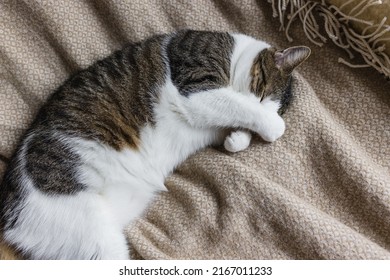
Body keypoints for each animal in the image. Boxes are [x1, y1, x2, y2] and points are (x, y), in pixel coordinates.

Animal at [0, 29, 310, 260]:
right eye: (262, 92)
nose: (269, 113)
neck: (234, 53)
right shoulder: (196, 89)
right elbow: (242, 106)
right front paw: (272, 126)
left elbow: (238, 125)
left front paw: (237, 138)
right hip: (88, 231)